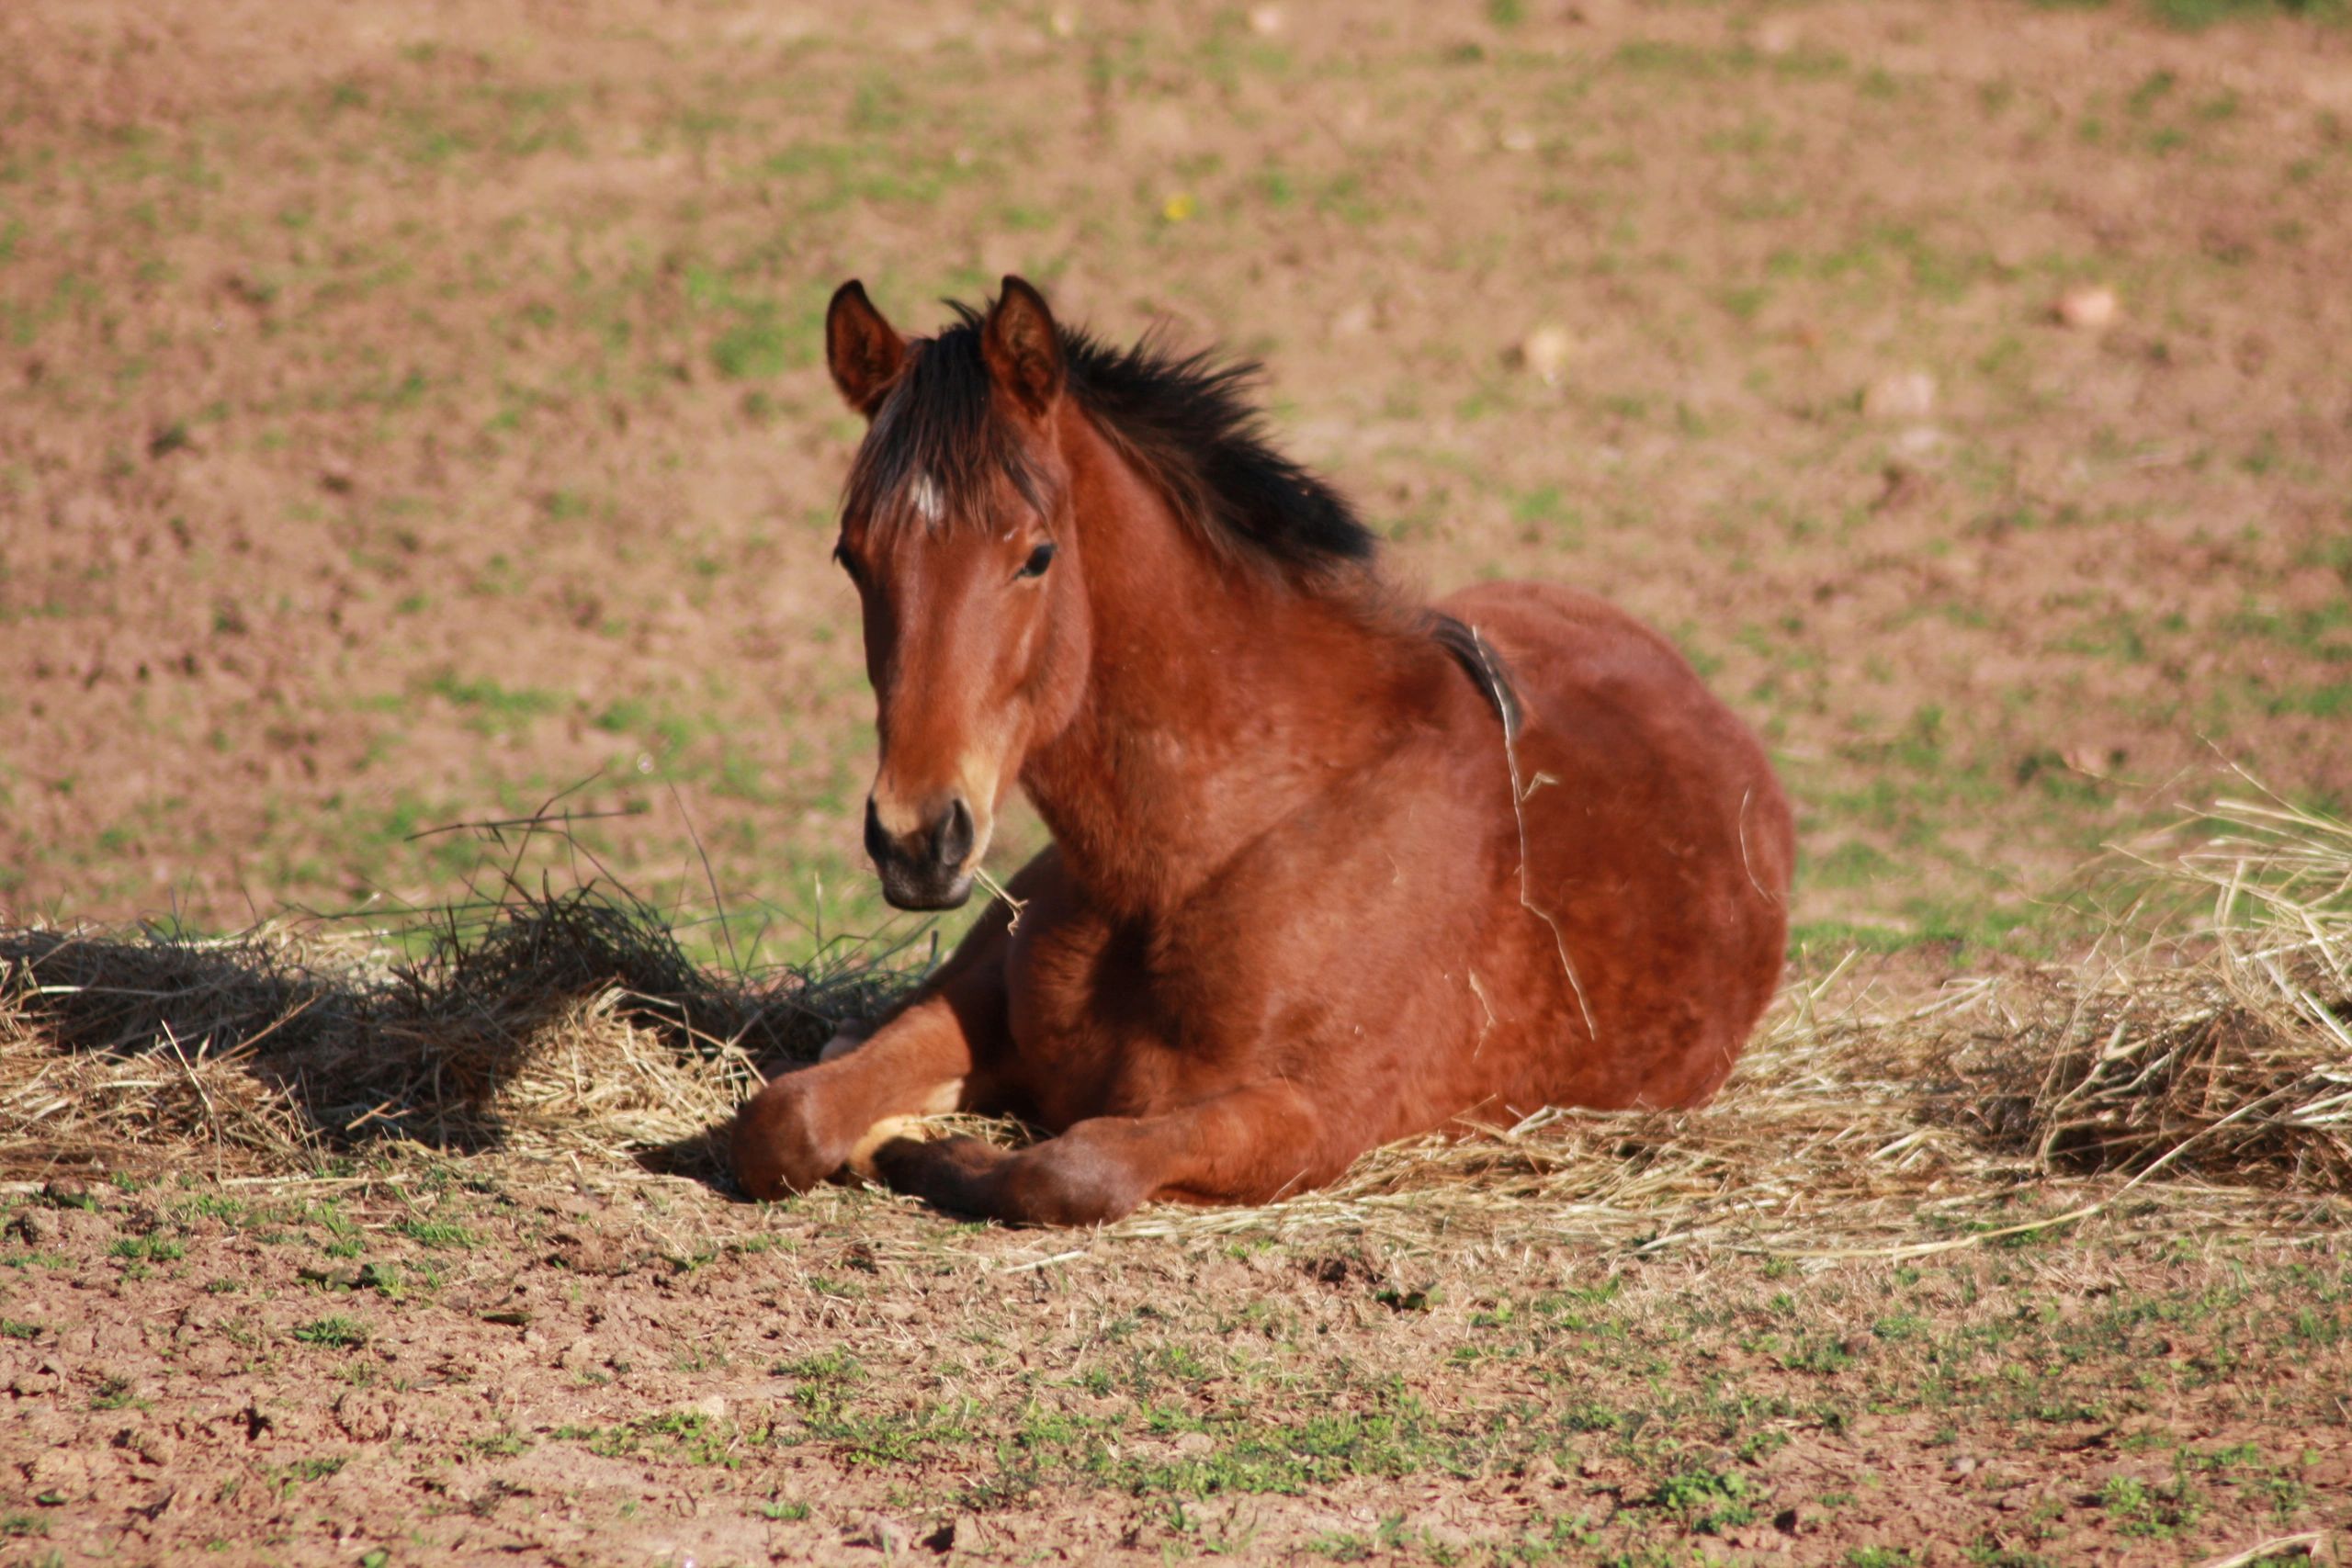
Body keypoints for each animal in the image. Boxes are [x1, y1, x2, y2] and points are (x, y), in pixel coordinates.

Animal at [731, 276, 1794, 1226]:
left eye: (1036, 554)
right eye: (852, 554)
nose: (917, 841)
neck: (1226, 832)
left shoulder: (1312, 1116)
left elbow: (1071, 1169)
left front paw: (920, 1149)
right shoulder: (976, 998)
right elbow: (787, 1118)